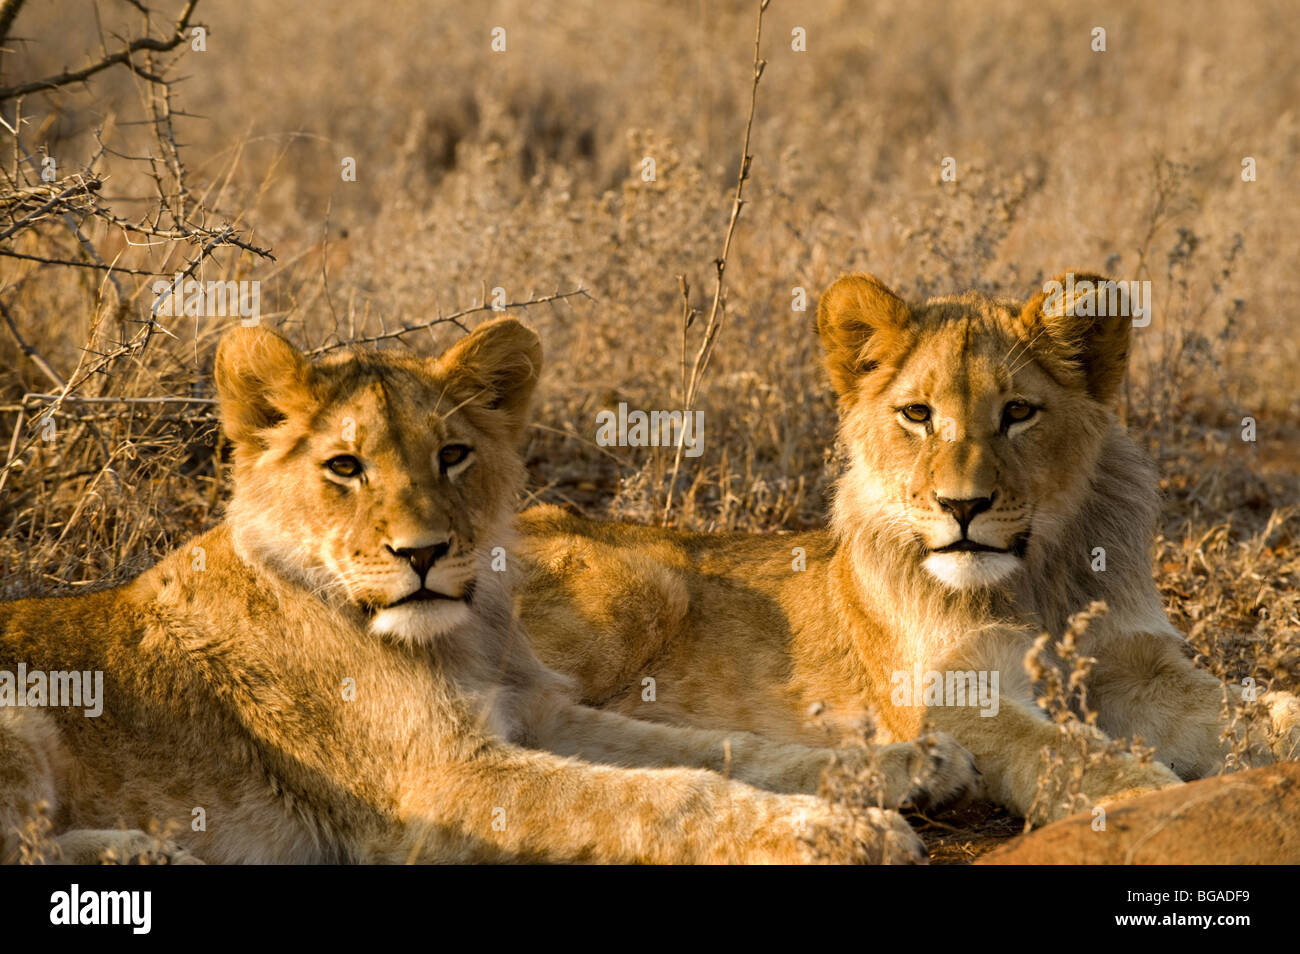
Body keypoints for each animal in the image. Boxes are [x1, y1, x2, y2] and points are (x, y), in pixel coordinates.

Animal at [0, 319, 925, 868]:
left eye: (452, 455)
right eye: (345, 466)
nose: (424, 554)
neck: (458, 635)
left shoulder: (540, 711)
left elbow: (712, 748)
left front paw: (906, 766)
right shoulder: (441, 783)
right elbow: (666, 797)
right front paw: (847, 831)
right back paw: (147, 853)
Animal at [517, 272, 1300, 826]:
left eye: (1019, 412)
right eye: (918, 414)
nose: (963, 506)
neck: (1034, 578)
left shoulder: (1134, 670)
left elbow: (1259, 712)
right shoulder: (945, 693)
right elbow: (1062, 749)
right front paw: (1150, 800)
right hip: (645, 581)